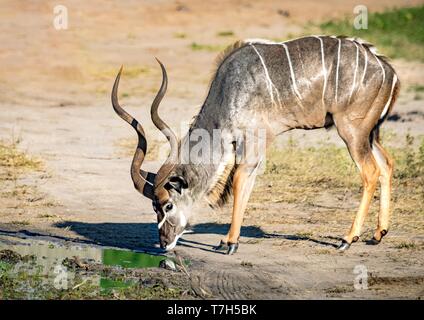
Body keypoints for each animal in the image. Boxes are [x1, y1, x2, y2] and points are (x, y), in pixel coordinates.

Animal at [111, 35, 400, 255]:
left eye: (166, 205)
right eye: (153, 208)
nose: (164, 243)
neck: (229, 92)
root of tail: (387, 70)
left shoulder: (252, 139)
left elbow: (240, 179)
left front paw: (229, 243)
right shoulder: (254, 147)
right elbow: (247, 183)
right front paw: (229, 240)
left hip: (351, 131)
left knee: (370, 171)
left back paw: (347, 239)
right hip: (369, 134)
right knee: (387, 163)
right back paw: (378, 234)